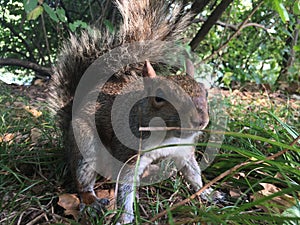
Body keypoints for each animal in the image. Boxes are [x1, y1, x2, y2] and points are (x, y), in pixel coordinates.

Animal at [48, 0, 209, 223]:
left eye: (205, 91)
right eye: (159, 97)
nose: (200, 120)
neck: (166, 136)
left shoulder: (183, 151)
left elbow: (193, 173)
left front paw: (208, 193)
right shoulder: (129, 156)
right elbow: (124, 187)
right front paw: (125, 217)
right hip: (86, 145)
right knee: (83, 178)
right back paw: (92, 201)